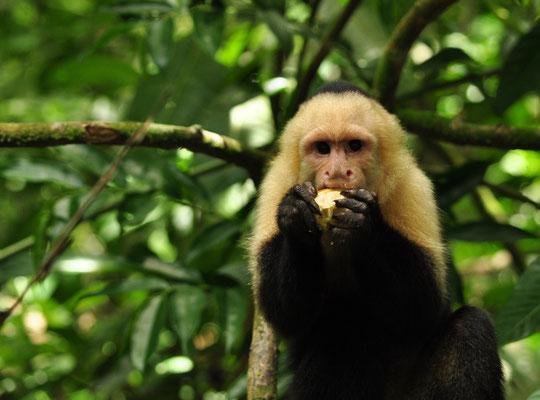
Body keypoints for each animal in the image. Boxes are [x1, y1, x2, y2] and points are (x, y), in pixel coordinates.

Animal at [247, 82, 504, 400]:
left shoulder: (412, 186)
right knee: (343, 329)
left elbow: (423, 310)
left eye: (354, 146)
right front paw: (296, 217)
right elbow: (286, 316)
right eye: (322, 148)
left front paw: (363, 223)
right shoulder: (276, 184)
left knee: (468, 326)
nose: (338, 171)